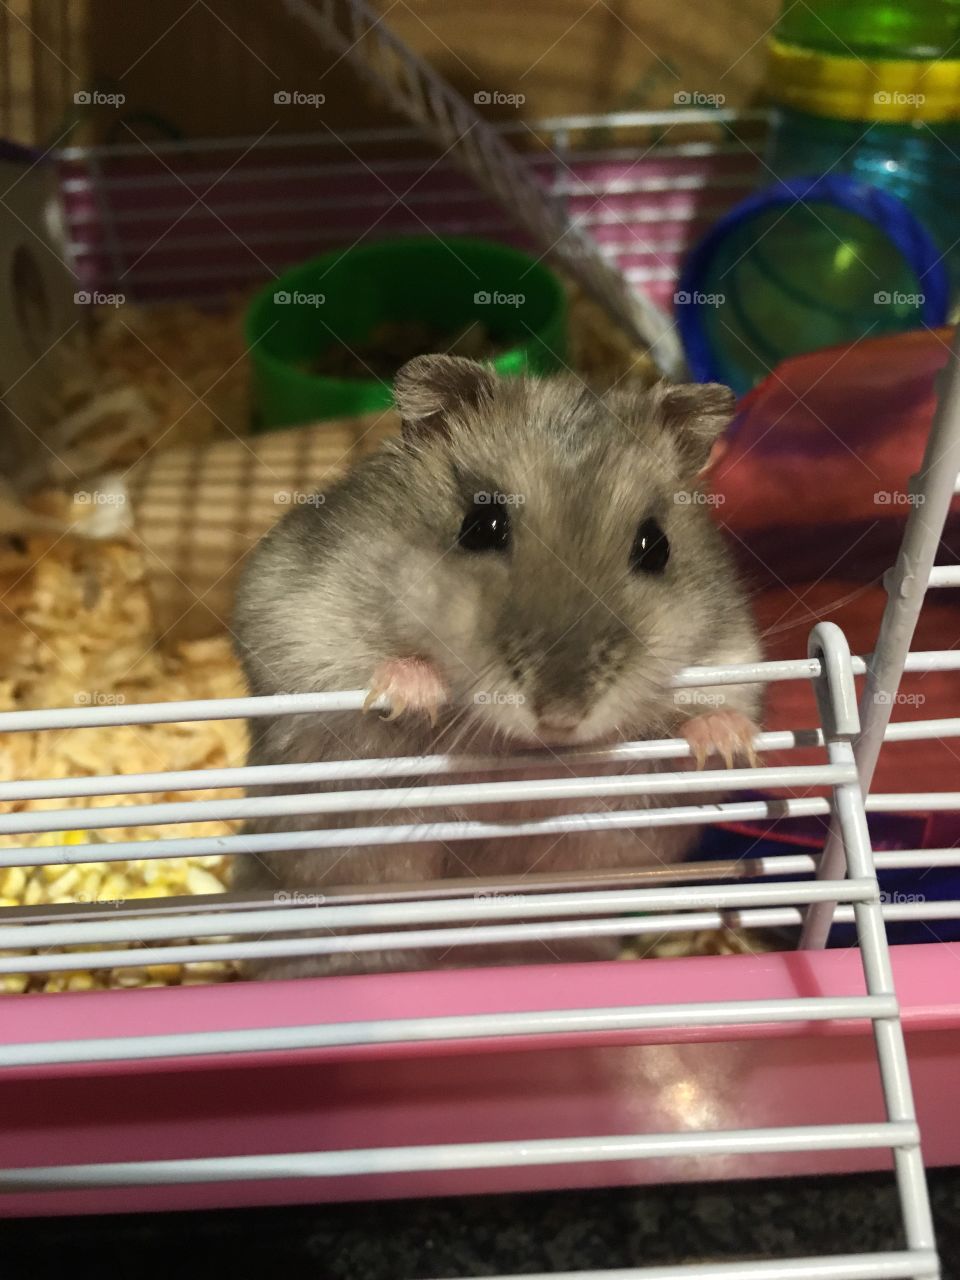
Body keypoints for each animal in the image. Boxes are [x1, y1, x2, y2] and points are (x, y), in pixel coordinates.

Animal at [231, 355, 762, 979]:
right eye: (479, 525)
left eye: (656, 547)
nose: (560, 716)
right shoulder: (297, 637)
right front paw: (413, 690)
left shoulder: (731, 657)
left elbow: (710, 712)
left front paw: (728, 743)